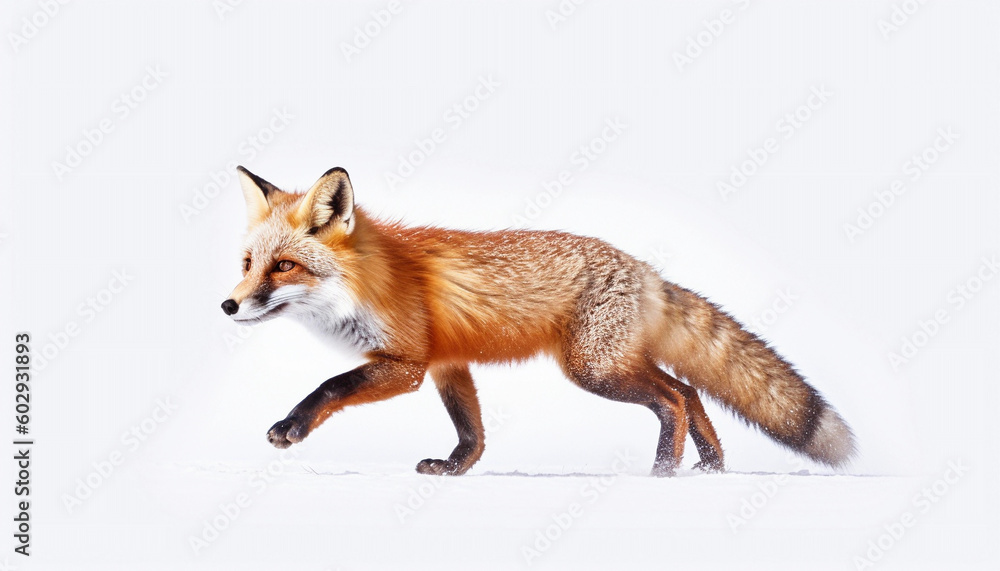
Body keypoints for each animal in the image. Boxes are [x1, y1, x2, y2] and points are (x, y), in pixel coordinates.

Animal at [222, 166, 856, 476]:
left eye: (284, 266)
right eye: (248, 264)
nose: (228, 306)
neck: (366, 282)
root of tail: (645, 271)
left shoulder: (405, 364)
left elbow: (331, 385)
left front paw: (292, 427)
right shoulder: (449, 364)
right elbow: (472, 432)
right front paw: (455, 469)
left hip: (593, 370)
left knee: (674, 400)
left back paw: (664, 472)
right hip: (613, 363)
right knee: (691, 393)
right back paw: (710, 469)